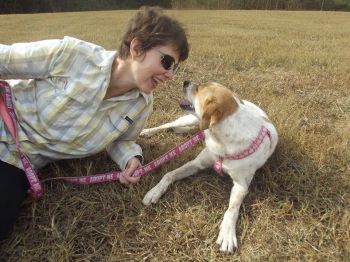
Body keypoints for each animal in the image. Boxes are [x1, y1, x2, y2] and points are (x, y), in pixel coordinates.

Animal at [141, 81, 278, 253]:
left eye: (199, 88)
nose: (186, 81)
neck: (220, 139)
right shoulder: (196, 164)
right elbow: (169, 174)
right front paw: (154, 192)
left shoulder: (241, 185)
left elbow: (232, 209)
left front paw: (227, 233)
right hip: (188, 119)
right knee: (170, 124)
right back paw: (148, 131)